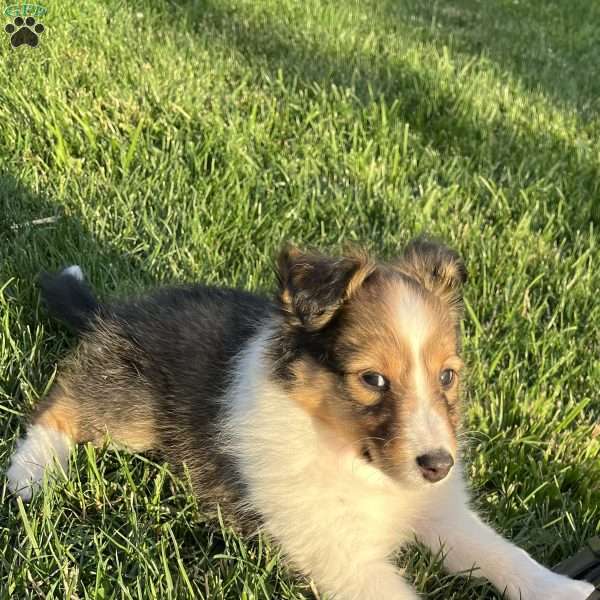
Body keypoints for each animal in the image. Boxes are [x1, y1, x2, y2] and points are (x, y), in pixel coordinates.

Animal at [5, 239, 596, 600]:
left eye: (448, 376)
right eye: (373, 379)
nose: (438, 466)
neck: (356, 462)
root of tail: (110, 312)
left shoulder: (437, 509)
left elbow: (501, 551)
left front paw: (563, 589)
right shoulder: (339, 555)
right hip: (133, 406)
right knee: (60, 404)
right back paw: (29, 476)